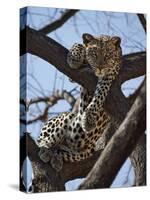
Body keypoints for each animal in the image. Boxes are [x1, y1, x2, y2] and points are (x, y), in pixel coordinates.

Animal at [36, 33, 122, 172]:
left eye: (108, 55)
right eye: (94, 54)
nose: (100, 68)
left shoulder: (110, 73)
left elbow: (100, 94)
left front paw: (89, 119)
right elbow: (79, 44)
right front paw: (75, 57)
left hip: (83, 151)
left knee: (62, 150)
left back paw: (54, 156)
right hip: (64, 119)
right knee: (43, 140)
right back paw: (47, 149)